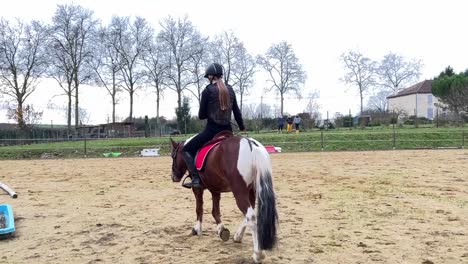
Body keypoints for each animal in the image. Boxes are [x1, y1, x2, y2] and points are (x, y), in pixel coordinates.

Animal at [169, 133, 276, 262]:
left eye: (172, 156)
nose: (173, 177)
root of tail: (251, 144)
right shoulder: (215, 189)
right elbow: (215, 211)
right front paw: (222, 230)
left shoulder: (197, 189)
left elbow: (199, 208)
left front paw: (197, 229)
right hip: (252, 190)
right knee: (250, 214)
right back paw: (238, 236)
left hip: (239, 192)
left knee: (251, 216)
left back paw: (258, 254)